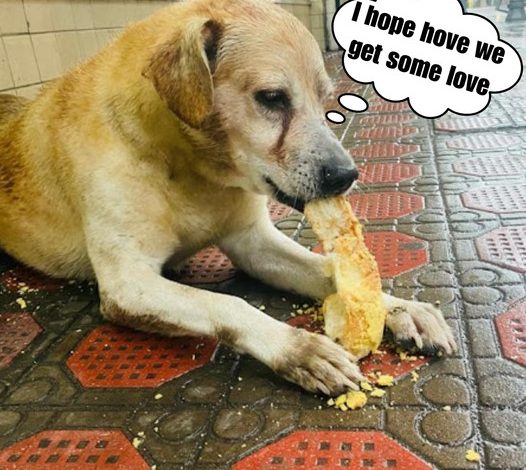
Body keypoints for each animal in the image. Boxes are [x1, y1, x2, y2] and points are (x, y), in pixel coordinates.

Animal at [0, 0, 456, 396]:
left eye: (325, 100)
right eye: (272, 98)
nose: (347, 176)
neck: (191, 169)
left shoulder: (253, 243)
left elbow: (328, 269)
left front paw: (398, 308)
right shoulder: (127, 283)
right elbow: (228, 304)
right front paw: (297, 349)